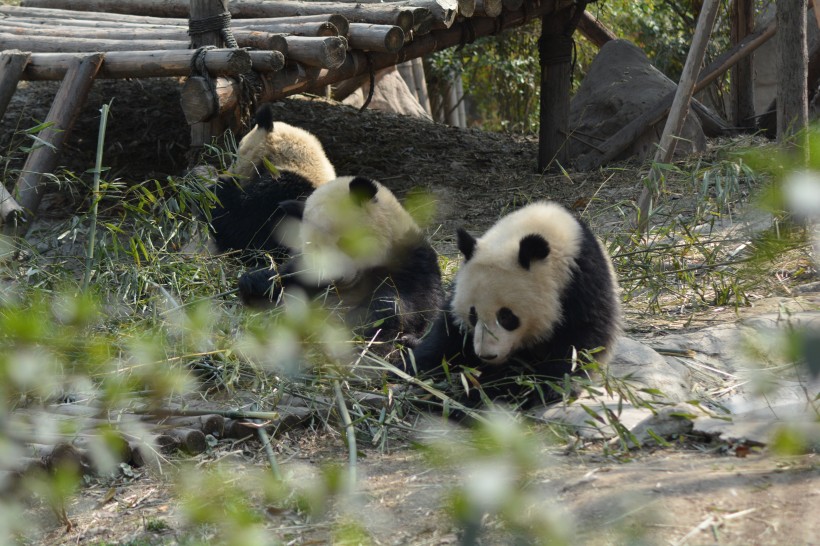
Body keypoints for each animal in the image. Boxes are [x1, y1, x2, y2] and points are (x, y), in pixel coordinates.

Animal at [239, 174, 442, 344]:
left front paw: (359, 319)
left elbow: (415, 305)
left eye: (344, 242)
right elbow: (289, 278)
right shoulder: (306, 271)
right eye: (315, 249)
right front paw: (255, 281)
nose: (334, 278)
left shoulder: (412, 261)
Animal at [410, 202, 620, 410]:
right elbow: (446, 337)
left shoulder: (581, 281)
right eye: (473, 315)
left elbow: (580, 340)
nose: (487, 355)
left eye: (506, 316)